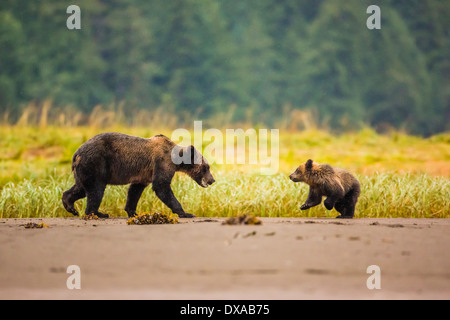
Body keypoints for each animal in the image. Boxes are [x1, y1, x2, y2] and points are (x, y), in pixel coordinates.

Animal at [62, 132, 215, 218]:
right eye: (206, 167)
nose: (212, 180)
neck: (176, 158)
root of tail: (77, 153)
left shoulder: (144, 174)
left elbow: (135, 190)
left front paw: (132, 212)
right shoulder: (162, 162)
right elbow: (161, 186)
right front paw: (186, 213)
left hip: (84, 169)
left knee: (81, 188)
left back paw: (70, 206)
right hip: (96, 163)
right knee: (96, 190)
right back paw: (98, 213)